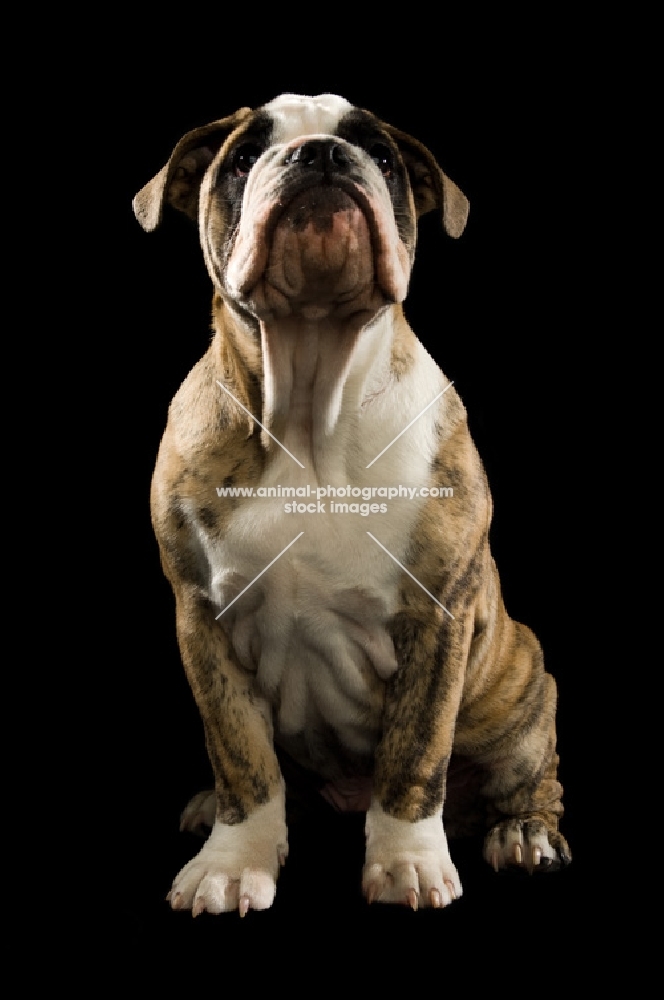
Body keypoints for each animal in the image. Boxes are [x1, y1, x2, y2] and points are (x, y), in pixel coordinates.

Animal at [132, 92, 568, 916]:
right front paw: (233, 860)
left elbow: (414, 755)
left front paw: (406, 864)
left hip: (519, 689)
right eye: (244, 157)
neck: (310, 403)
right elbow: (241, 754)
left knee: (529, 774)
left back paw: (524, 832)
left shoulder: (437, 616)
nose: (321, 155)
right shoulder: (202, 617)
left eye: (384, 157)